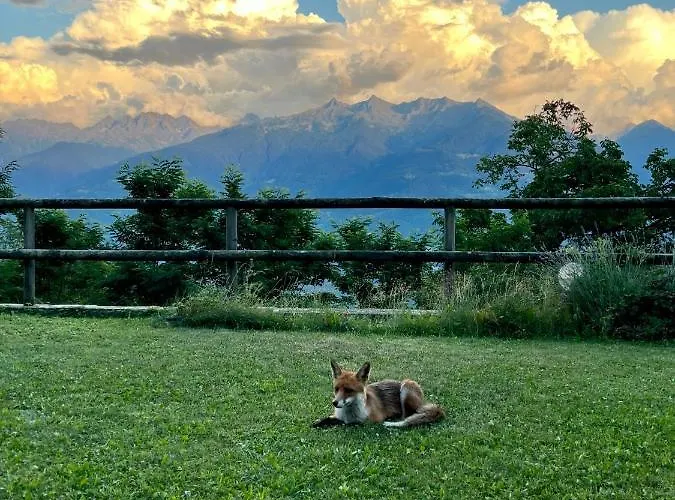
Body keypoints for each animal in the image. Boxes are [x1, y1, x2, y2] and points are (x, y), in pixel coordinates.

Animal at [312, 360, 445, 429]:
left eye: (349, 390)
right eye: (336, 389)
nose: (334, 403)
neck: (349, 413)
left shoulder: (370, 422)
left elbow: (349, 424)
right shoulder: (339, 416)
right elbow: (328, 418)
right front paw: (318, 423)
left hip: (407, 386)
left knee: (407, 416)